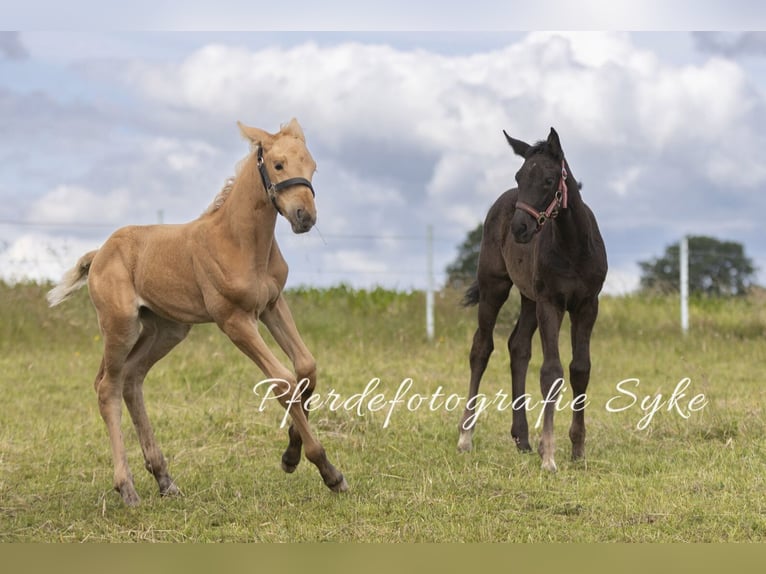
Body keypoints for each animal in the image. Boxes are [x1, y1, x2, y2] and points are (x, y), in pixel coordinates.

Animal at [48, 119, 348, 506]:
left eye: (312, 167)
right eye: (278, 165)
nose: (304, 217)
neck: (240, 242)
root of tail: (99, 253)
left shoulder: (272, 305)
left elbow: (306, 368)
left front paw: (291, 454)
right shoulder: (234, 320)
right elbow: (282, 379)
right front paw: (327, 469)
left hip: (166, 329)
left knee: (131, 379)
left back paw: (164, 479)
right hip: (120, 326)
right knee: (107, 387)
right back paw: (127, 488)